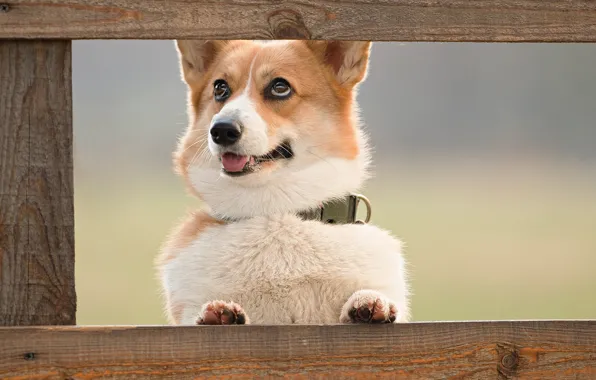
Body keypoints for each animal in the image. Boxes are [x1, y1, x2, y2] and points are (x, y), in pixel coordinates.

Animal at [156, 40, 412, 326]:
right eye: (220, 88)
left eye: (280, 87)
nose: (221, 130)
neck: (274, 211)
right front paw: (218, 314)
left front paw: (369, 304)